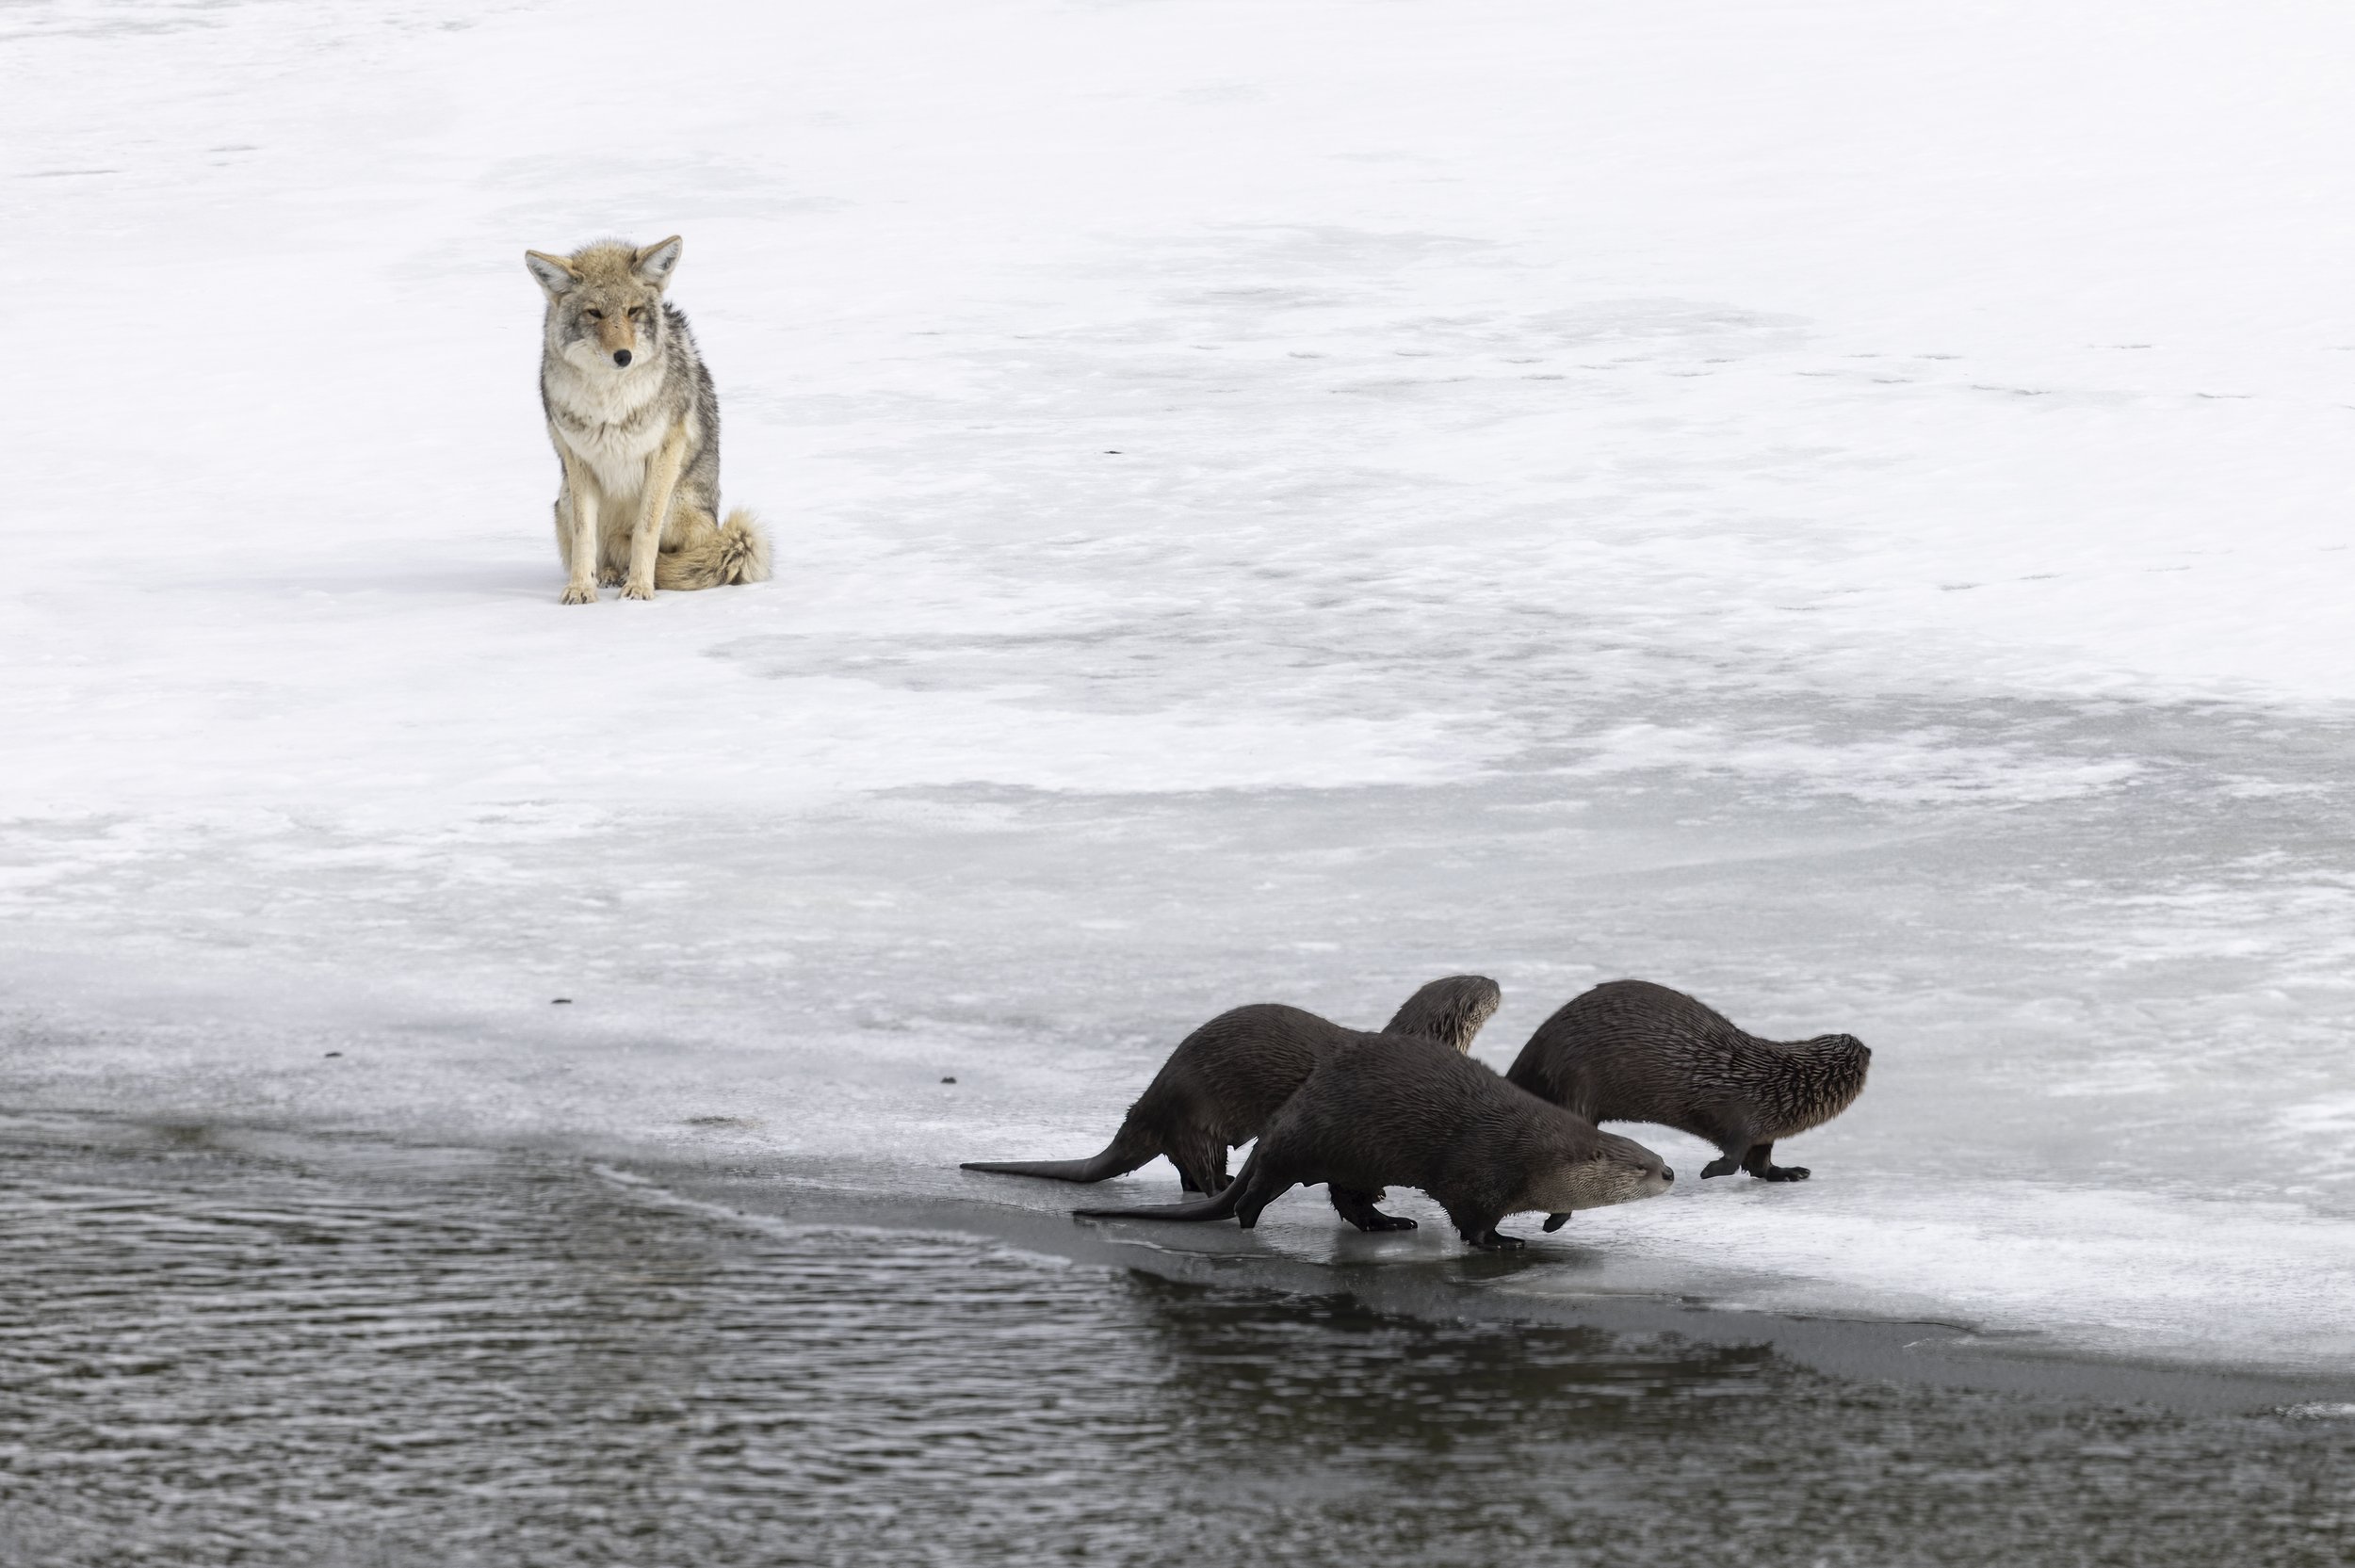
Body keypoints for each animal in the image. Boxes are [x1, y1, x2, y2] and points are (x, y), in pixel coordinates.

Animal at [1074, 1033, 1674, 1250]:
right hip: (1304, 1148)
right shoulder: (1478, 1171)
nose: (1670, 1173)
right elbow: (1472, 1219)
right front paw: (1504, 1241)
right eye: (1638, 1166)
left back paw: (1391, 1223)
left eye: (1656, 1154)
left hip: (1354, 1163)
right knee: (1259, 1190)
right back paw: (1248, 1221)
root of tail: (1285, 1116)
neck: (1530, 1150)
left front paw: (1553, 1220)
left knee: (1352, 1202)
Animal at [1505, 979, 1870, 1182]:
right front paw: (1709, 1171)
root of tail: (1532, 1049)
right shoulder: (1735, 1114)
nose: (1868, 1046)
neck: (1773, 1085)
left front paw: (1788, 1172)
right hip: (1572, 1082)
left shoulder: (1765, 1132)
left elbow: (1760, 1162)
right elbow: (1733, 1155)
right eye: (1858, 1055)